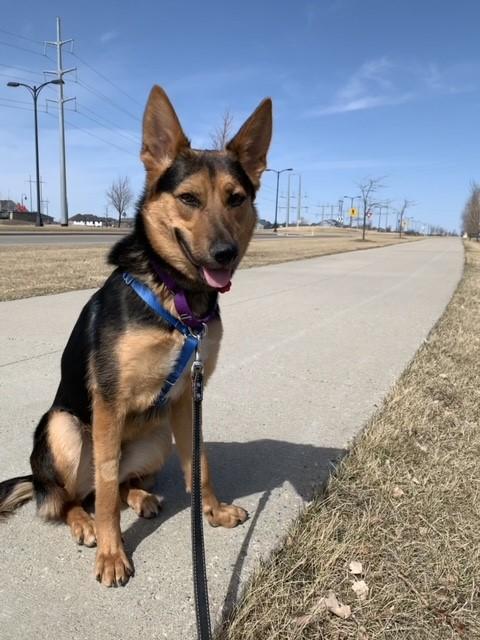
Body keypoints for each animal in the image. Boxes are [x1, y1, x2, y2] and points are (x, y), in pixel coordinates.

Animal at [0, 87, 270, 588]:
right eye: (188, 198)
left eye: (237, 199)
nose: (224, 254)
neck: (175, 295)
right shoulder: (109, 402)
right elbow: (106, 490)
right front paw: (112, 553)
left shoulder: (186, 399)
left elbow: (199, 465)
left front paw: (212, 512)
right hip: (64, 428)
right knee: (74, 497)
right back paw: (85, 523)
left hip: (157, 438)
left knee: (121, 483)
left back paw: (142, 498)